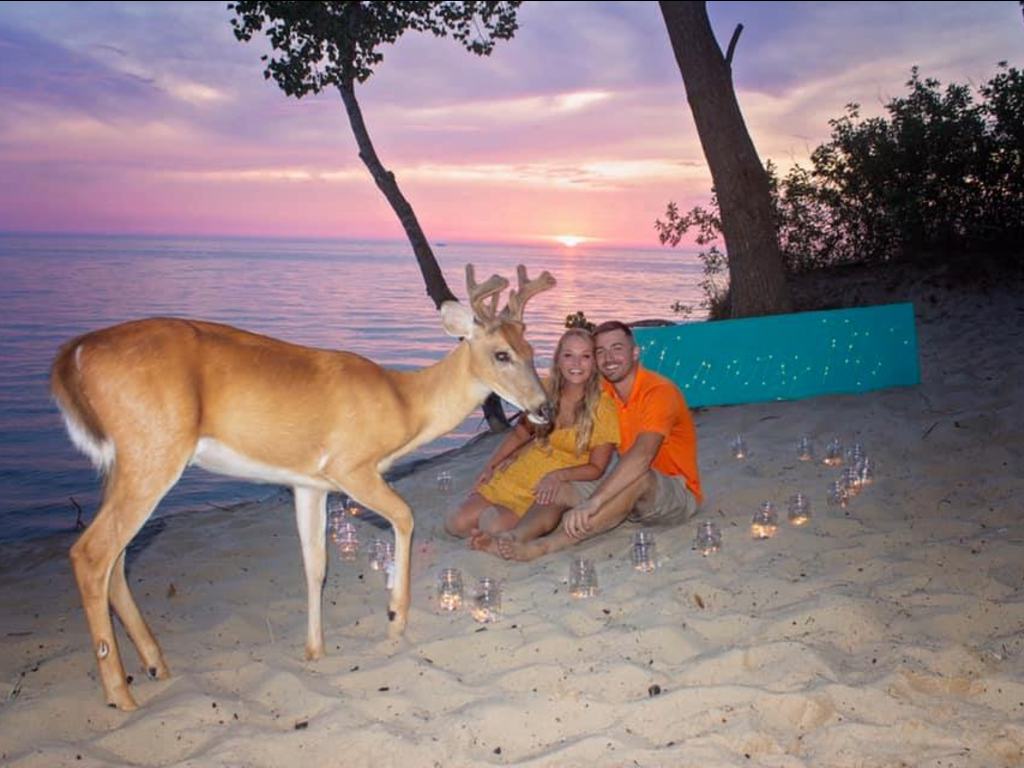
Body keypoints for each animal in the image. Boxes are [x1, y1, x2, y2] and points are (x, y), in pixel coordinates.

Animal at [50, 264, 555, 710]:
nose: (544, 407)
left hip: (123, 462)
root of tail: (73, 354)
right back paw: (121, 695)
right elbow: (406, 517)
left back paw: (156, 665)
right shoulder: (351, 465)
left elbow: (316, 564)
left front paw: (316, 650)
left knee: (115, 561)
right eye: (501, 353)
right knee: (91, 553)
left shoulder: (308, 483)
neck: (404, 406)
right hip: (153, 450)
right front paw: (395, 622)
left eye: (532, 350)